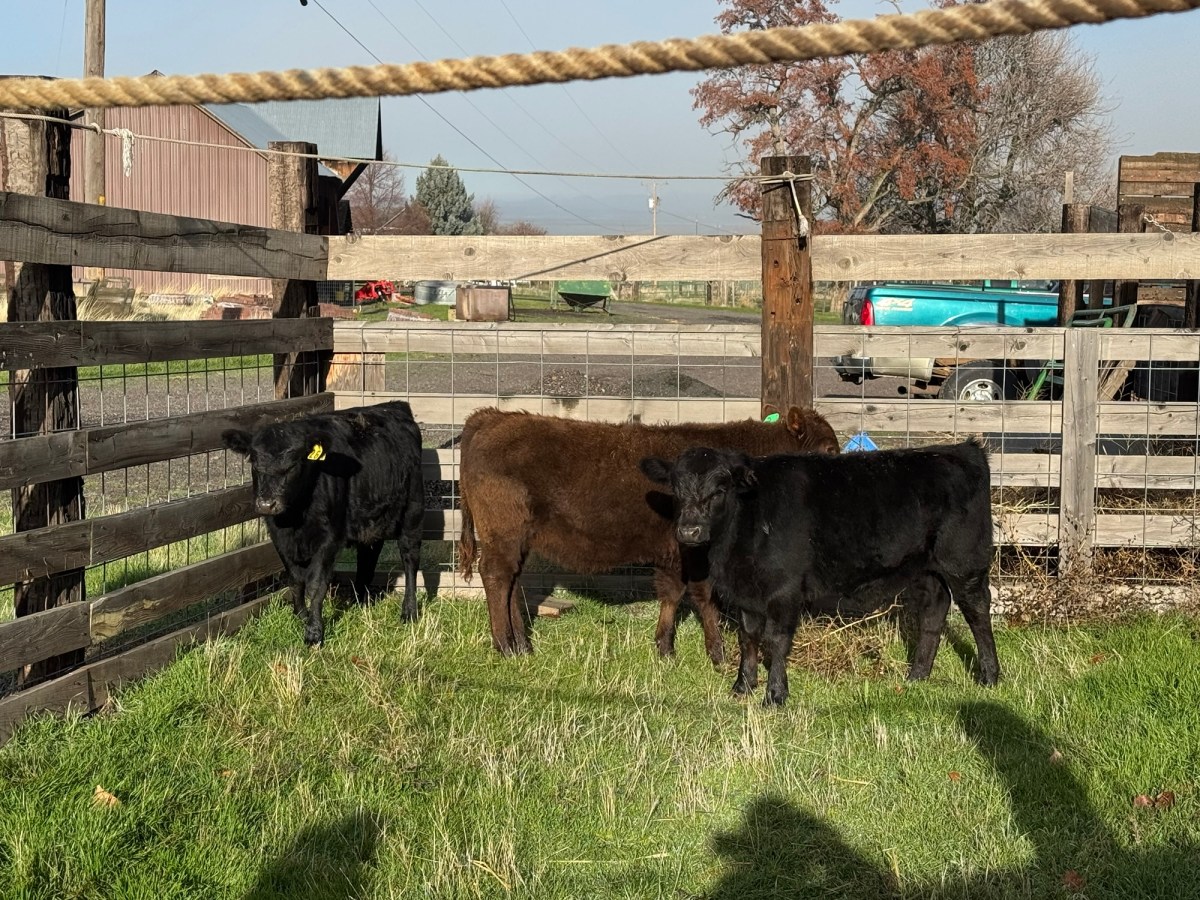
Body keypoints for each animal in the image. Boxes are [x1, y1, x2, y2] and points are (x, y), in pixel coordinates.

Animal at [222, 400, 425, 646]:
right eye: (254, 461)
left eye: (293, 464)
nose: (266, 504)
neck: (295, 520)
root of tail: (394, 405)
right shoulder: (279, 538)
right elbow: (295, 580)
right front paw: (300, 616)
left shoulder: (329, 539)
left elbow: (316, 584)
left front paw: (314, 632)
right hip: (370, 517)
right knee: (368, 554)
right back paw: (360, 602)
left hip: (413, 510)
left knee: (410, 558)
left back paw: (409, 612)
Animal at [457, 406, 839, 662]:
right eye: (829, 450)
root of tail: (493, 417)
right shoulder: (694, 551)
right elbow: (704, 598)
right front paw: (716, 653)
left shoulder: (674, 553)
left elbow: (672, 594)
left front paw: (665, 648)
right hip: (503, 532)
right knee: (496, 578)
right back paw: (505, 646)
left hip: (517, 538)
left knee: (512, 583)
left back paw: (522, 645)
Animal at [640, 440, 999, 706]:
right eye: (677, 490)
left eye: (719, 491)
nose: (689, 531)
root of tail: (961, 449)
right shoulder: (746, 593)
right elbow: (748, 637)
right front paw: (743, 686)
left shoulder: (784, 590)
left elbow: (776, 640)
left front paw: (775, 695)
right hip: (924, 567)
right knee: (934, 609)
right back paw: (917, 676)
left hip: (964, 560)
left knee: (978, 610)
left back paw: (990, 675)